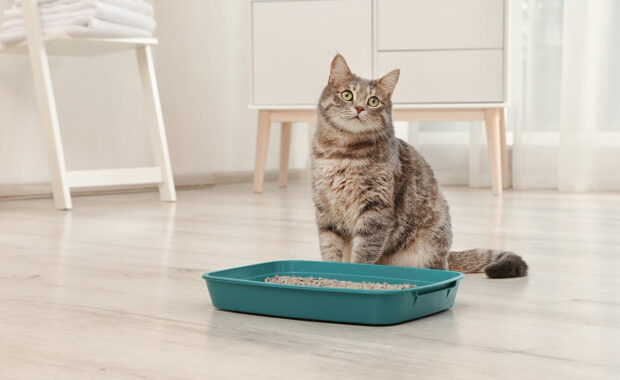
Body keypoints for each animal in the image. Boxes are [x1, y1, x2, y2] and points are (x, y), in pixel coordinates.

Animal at [310, 55, 528, 278]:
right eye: (347, 95)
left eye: (373, 101)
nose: (360, 108)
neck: (342, 154)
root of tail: (447, 256)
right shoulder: (325, 210)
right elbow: (329, 248)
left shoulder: (376, 210)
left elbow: (363, 253)